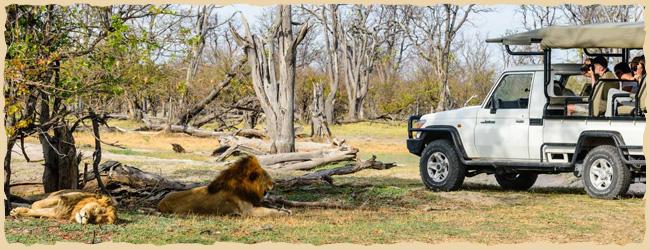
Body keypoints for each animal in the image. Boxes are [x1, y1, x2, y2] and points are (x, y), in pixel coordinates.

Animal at [157, 155, 288, 216]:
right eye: (266, 176)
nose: (275, 183)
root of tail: (160, 203)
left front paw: (282, 208)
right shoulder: (248, 211)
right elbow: (270, 211)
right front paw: (284, 213)